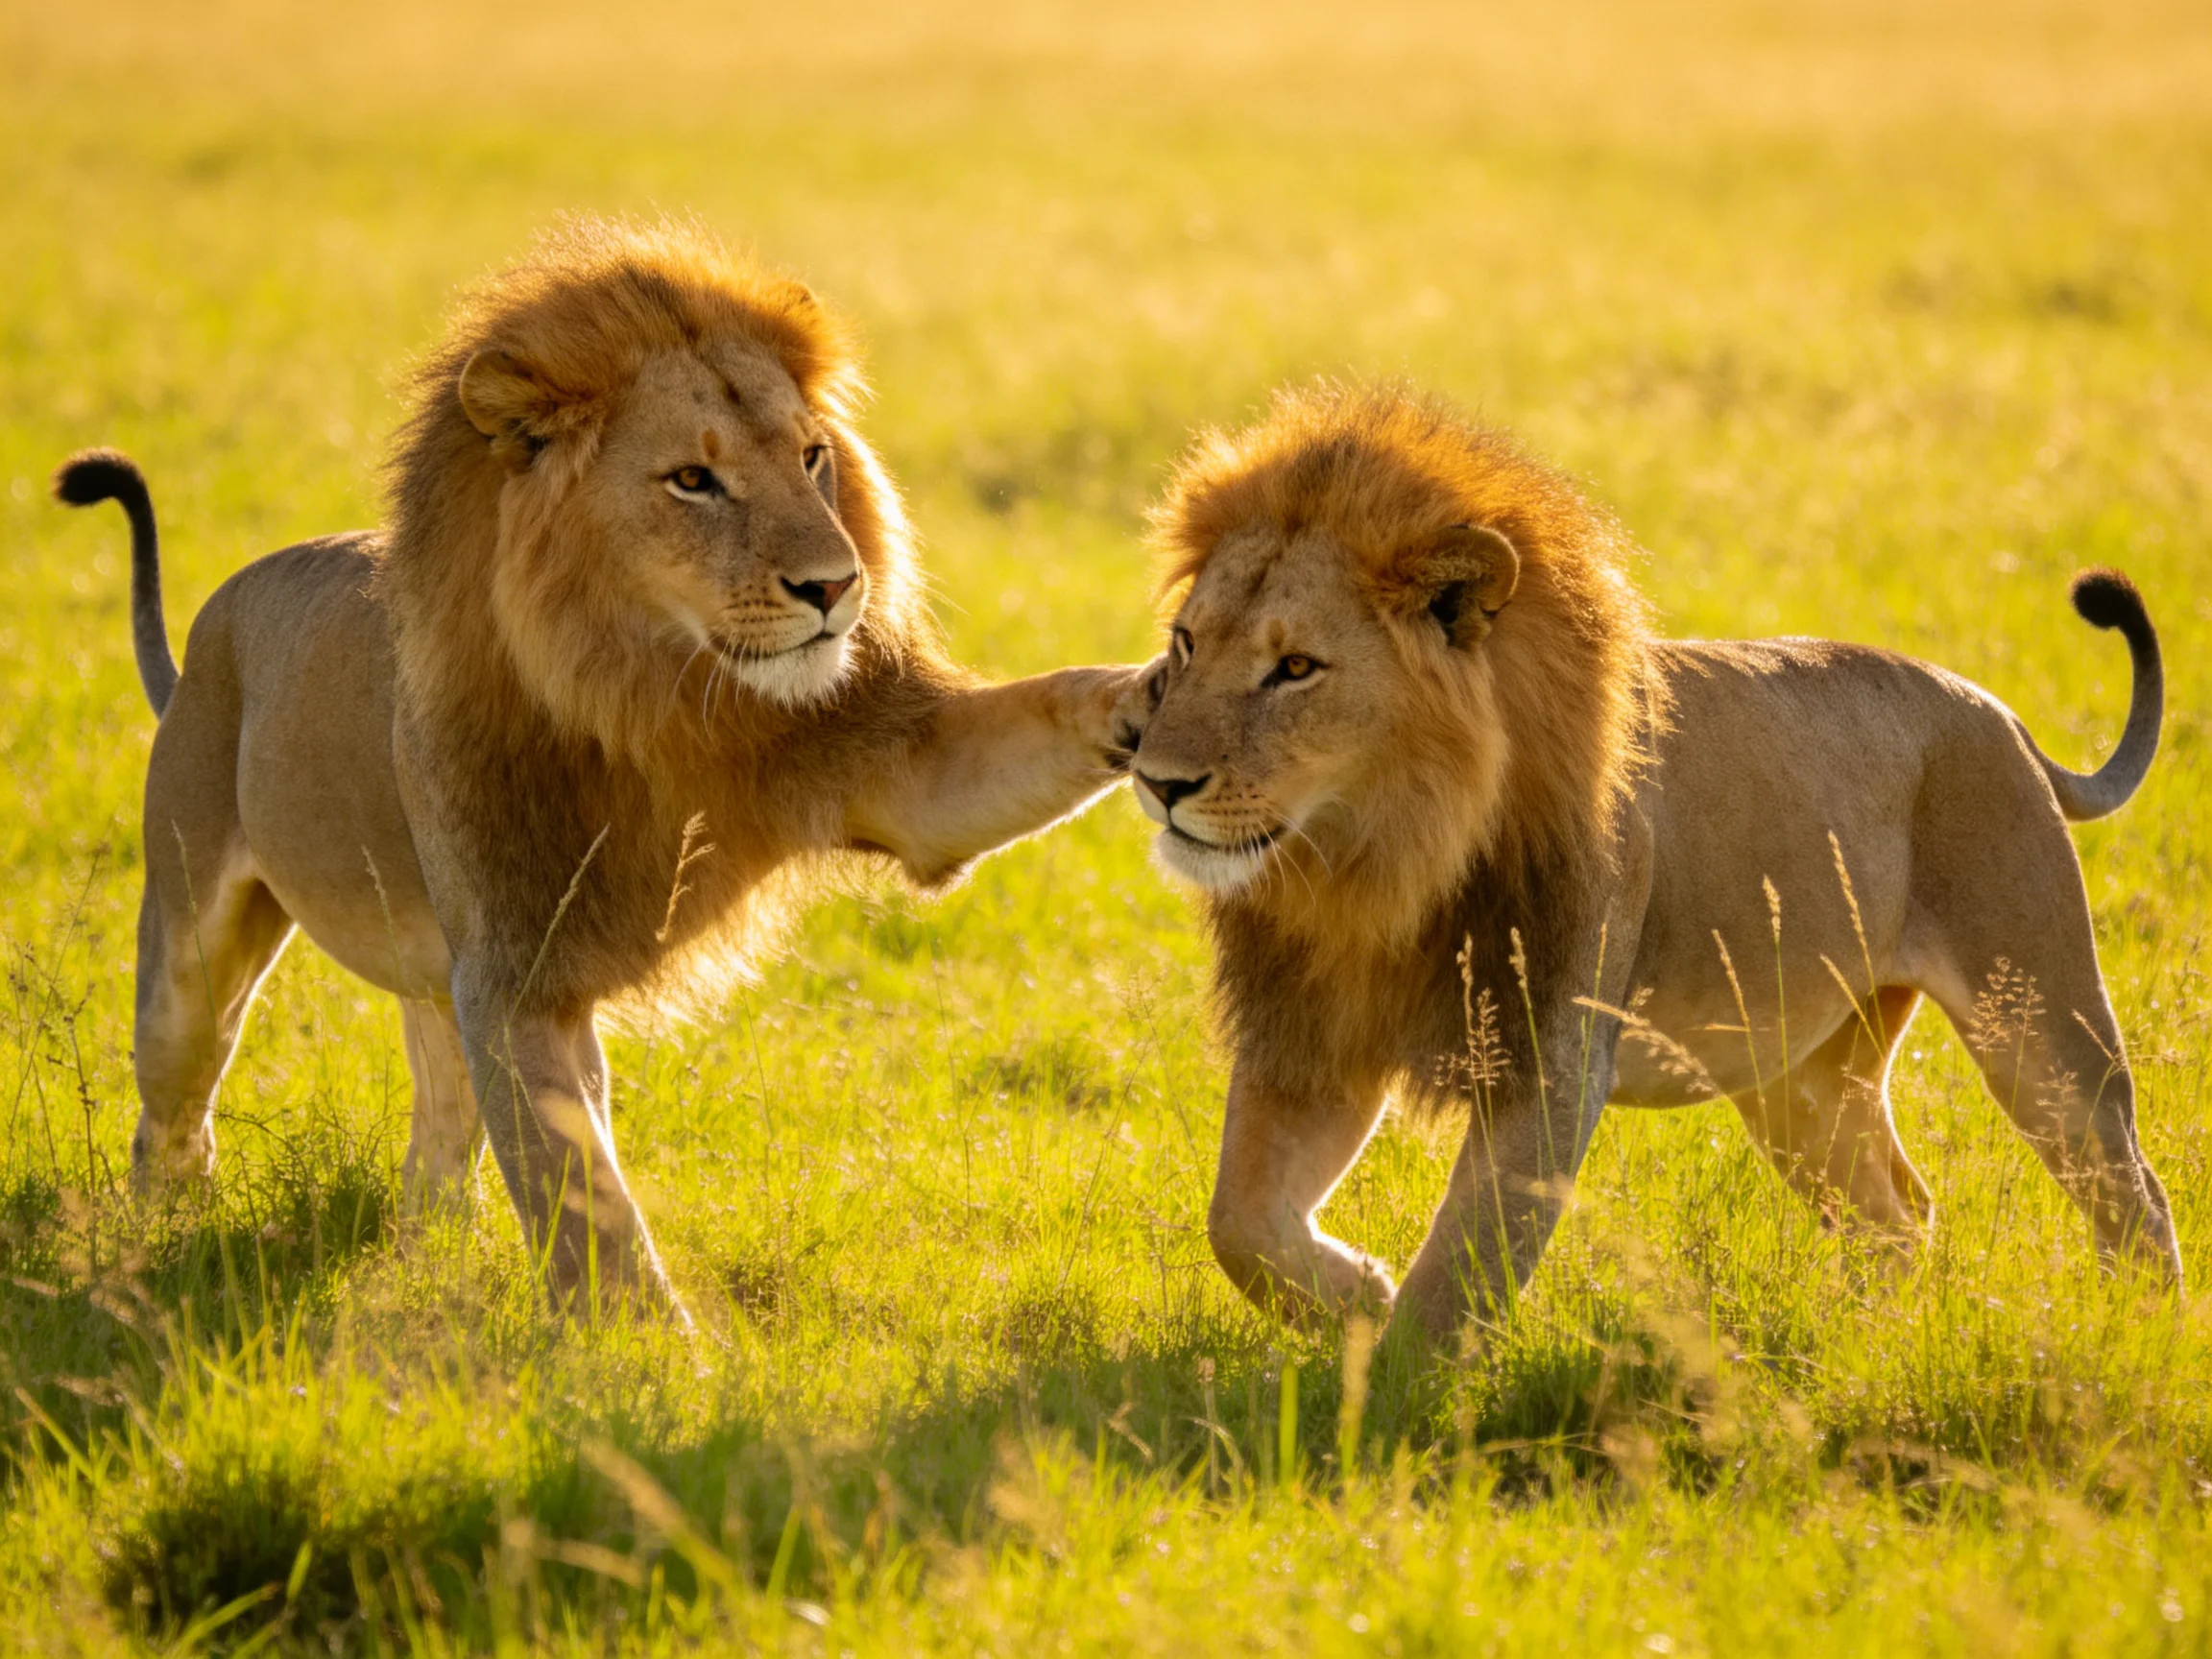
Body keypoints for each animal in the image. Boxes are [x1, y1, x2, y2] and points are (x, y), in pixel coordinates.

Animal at [57, 219, 1147, 1317]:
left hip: (433, 987)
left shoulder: (887, 765)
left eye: (813, 458)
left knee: (437, 1134)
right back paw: (150, 1245)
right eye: (693, 481)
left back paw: (426, 1268)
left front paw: (1157, 693)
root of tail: (211, 626)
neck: (652, 692)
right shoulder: (515, 969)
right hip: (192, 940)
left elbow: (1045, 713)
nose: (838, 587)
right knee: (175, 1106)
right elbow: (586, 1196)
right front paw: (654, 1347)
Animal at [1117, 382, 2181, 1349]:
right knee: (1900, 1214)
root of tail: (2003, 717)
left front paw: (1391, 1393)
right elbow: (1239, 1223)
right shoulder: (1318, 1032)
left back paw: (2134, 1338)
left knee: (2133, 1193)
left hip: (2038, 1021)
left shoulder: (1548, 1058)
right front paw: (1358, 1298)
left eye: (1295, 669)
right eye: (1186, 643)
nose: (1158, 780)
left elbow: (1465, 1265)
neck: (1372, 860)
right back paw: (1868, 1342)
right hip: (1800, 1078)